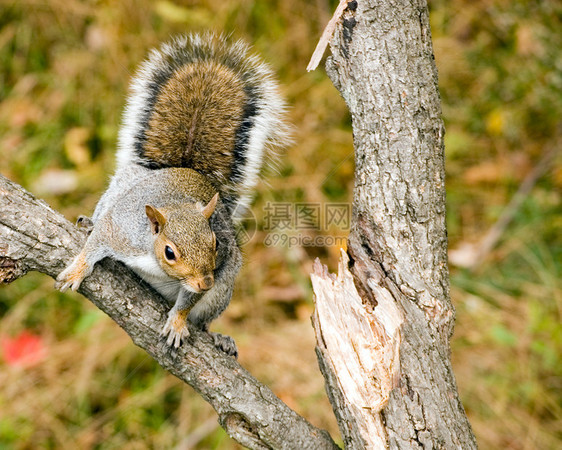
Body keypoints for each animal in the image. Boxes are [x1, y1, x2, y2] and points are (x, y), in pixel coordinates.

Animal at [55, 33, 288, 356]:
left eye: (215, 243)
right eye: (170, 252)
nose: (205, 283)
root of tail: (186, 169)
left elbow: (188, 302)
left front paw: (178, 322)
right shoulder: (120, 230)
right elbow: (95, 244)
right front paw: (77, 270)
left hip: (222, 290)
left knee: (204, 319)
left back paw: (218, 338)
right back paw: (88, 220)